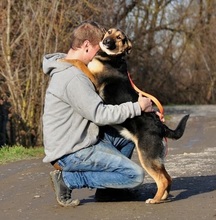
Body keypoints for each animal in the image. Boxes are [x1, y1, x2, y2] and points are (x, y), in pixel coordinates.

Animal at [64, 28, 189, 204]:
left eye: (119, 38)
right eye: (108, 32)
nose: (106, 42)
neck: (111, 57)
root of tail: (160, 125)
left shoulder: (94, 80)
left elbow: (79, 62)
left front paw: (64, 59)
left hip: (147, 156)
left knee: (163, 179)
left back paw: (154, 200)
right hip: (156, 158)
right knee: (168, 177)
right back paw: (163, 198)